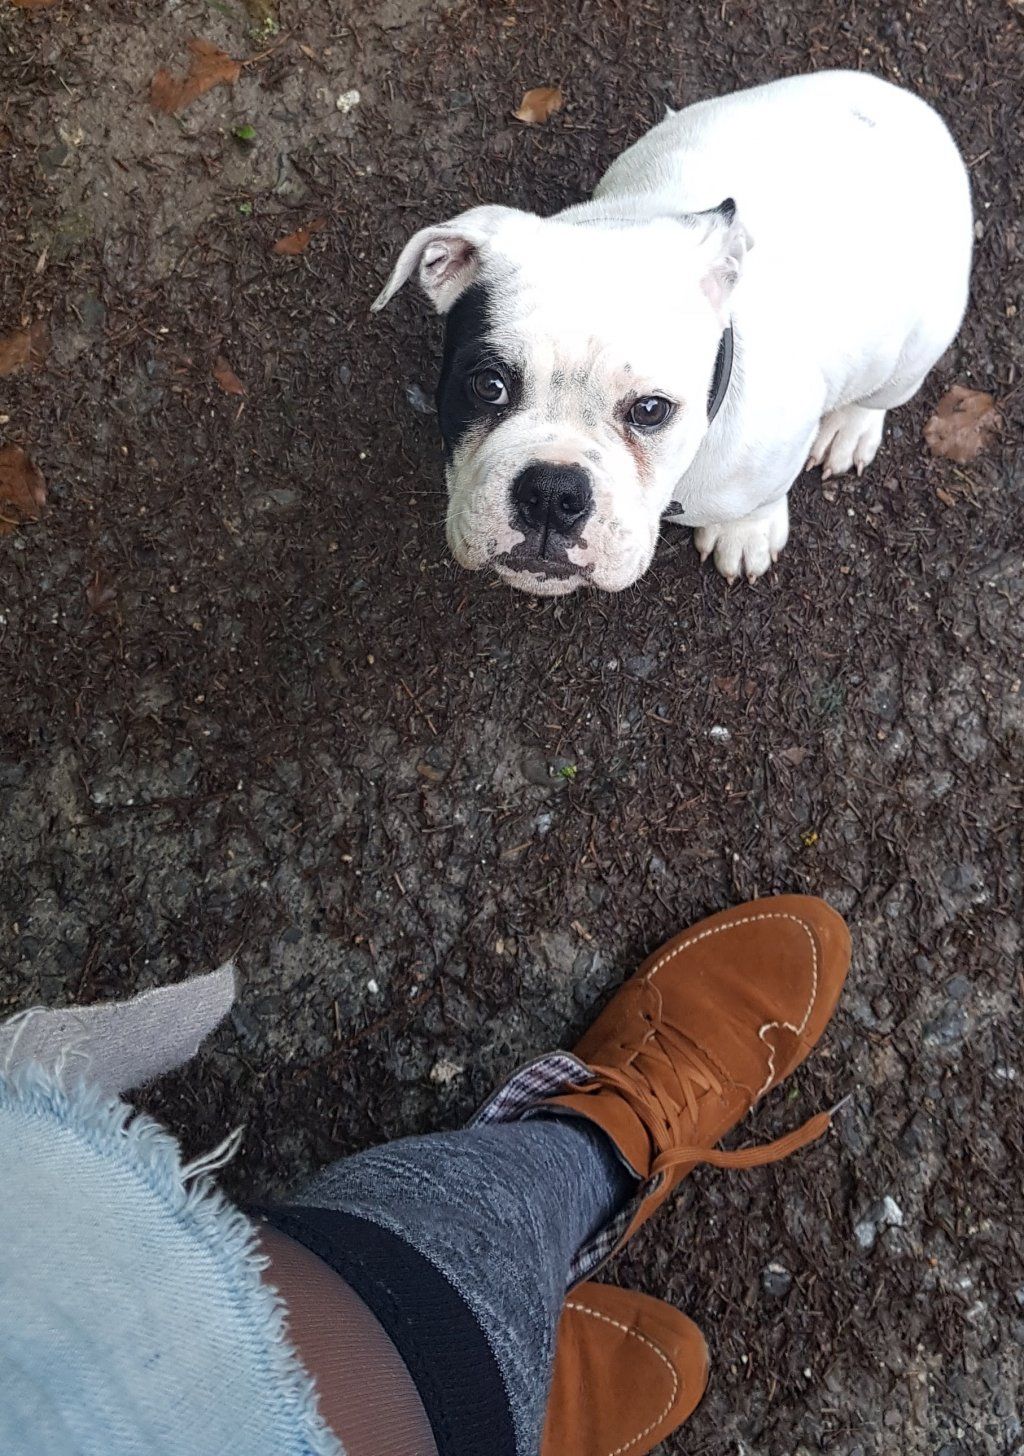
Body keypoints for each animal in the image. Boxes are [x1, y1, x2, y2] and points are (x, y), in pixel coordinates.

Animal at [374, 71, 973, 595]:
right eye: (488, 385)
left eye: (650, 410)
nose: (551, 492)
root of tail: (902, 103)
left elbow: (762, 498)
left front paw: (746, 531)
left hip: (915, 349)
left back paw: (850, 428)